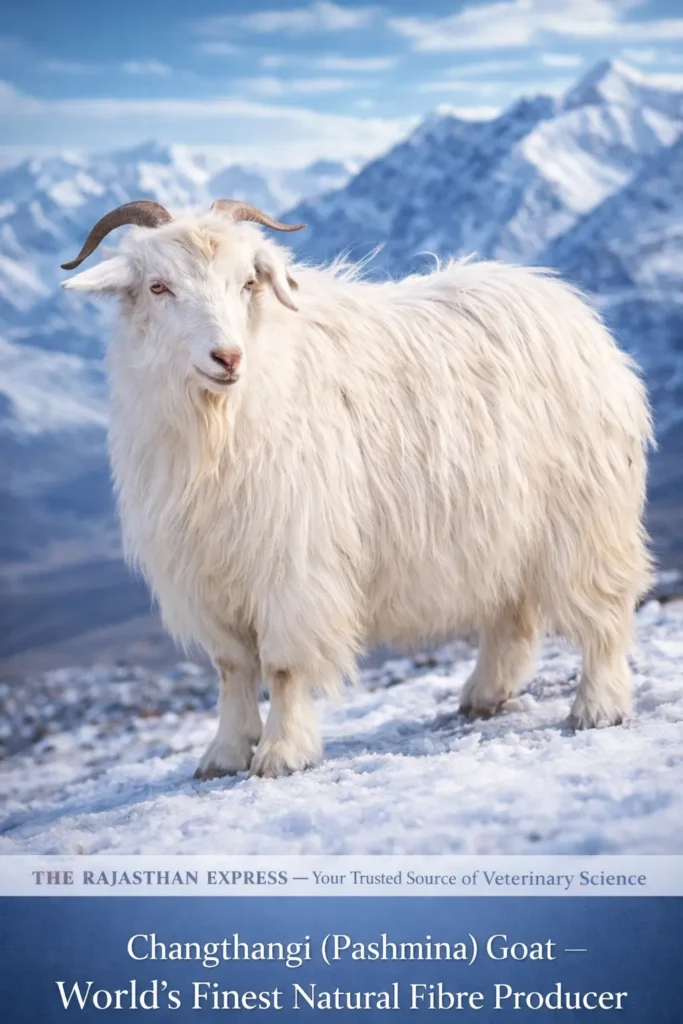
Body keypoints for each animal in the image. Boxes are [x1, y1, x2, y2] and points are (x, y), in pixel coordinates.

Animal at [62, 199, 653, 779]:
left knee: (604, 611)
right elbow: (232, 668)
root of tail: (565, 303)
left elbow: (283, 667)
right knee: (512, 616)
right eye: (158, 286)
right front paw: (223, 755)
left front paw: (282, 754)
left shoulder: (292, 565)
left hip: (585, 517)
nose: (227, 358)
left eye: (248, 282)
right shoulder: (204, 576)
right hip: (502, 529)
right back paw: (483, 696)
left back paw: (598, 706)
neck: (221, 423)